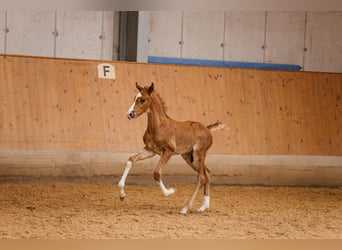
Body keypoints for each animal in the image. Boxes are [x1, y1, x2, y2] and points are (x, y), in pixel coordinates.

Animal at [119, 83, 226, 214]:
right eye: (134, 98)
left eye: (143, 99)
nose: (130, 114)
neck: (159, 126)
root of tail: (207, 129)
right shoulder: (150, 150)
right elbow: (131, 160)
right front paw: (122, 195)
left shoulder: (168, 151)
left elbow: (156, 173)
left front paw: (170, 191)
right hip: (189, 157)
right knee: (208, 174)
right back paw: (203, 206)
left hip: (198, 155)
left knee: (201, 177)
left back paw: (185, 208)